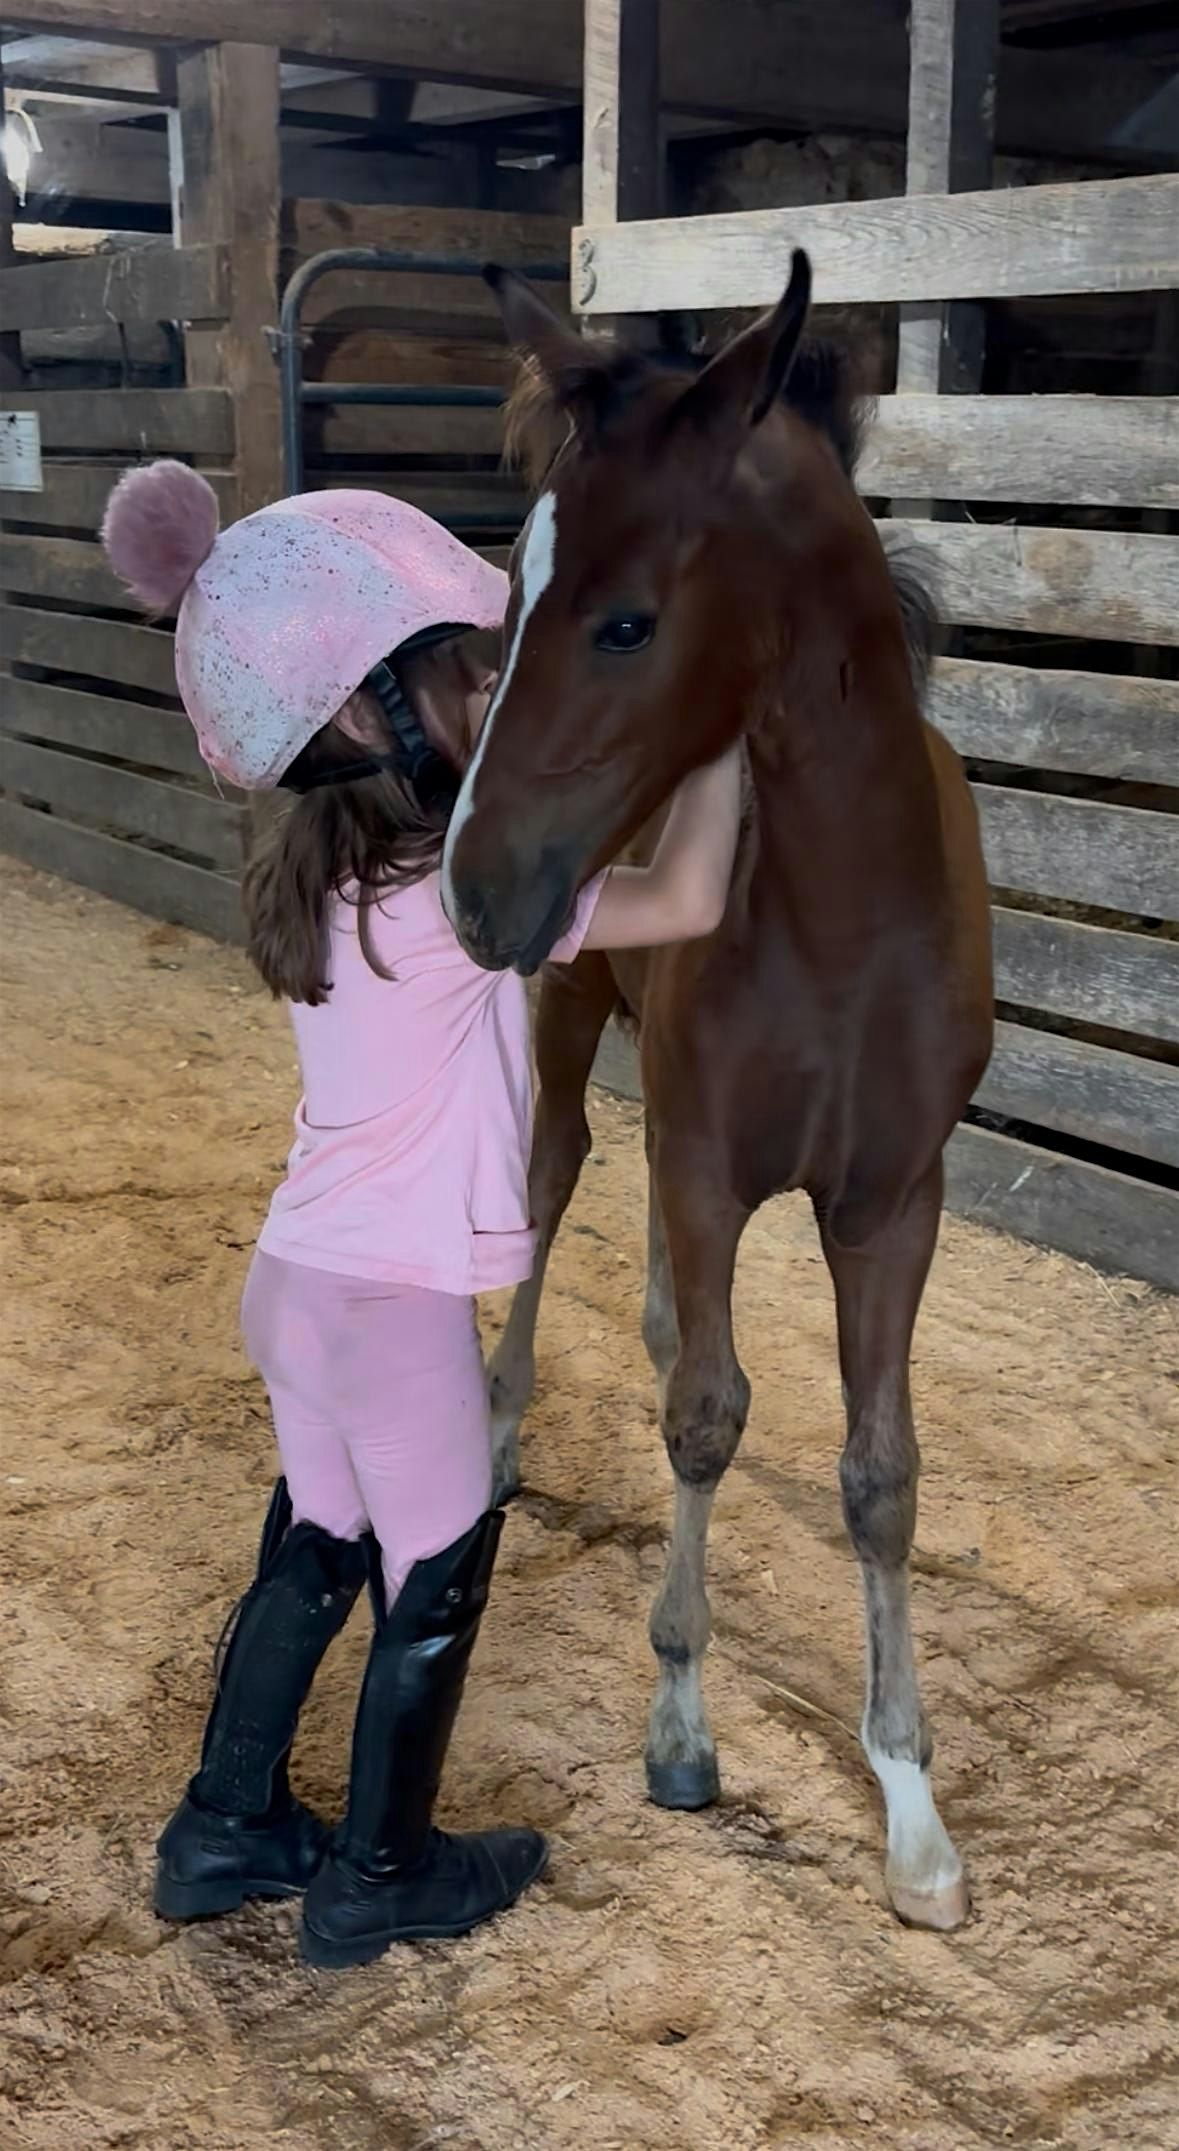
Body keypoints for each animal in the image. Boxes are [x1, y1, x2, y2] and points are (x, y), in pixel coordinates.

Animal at [441, 250, 994, 1932]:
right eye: (509, 596)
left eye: (625, 621)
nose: (471, 885)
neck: (846, 917)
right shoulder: (702, 1162)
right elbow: (704, 1416)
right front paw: (679, 1723)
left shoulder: (890, 1201)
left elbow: (878, 1474)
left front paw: (911, 1807)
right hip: (567, 1018)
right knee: (550, 1187)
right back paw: (495, 1425)